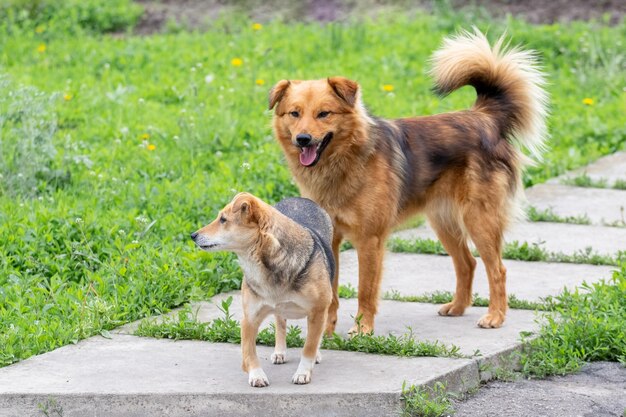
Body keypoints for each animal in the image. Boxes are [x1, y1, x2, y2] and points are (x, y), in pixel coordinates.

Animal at [190, 193, 334, 386]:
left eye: (223, 219)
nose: (193, 235)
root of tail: (298, 198)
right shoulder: (249, 318)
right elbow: (249, 351)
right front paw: (256, 375)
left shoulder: (318, 311)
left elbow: (309, 347)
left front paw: (303, 372)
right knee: (280, 324)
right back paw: (280, 352)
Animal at [268, 28, 544, 334]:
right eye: (294, 113)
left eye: (324, 114)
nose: (302, 139)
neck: (345, 161)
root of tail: (484, 118)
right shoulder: (331, 237)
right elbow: (331, 291)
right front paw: (325, 332)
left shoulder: (370, 239)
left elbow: (366, 290)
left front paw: (362, 330)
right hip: (443, 221)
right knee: (467, 263)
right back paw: (458, 307)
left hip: (479, 219)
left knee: (497, 269)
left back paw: (495, 316)